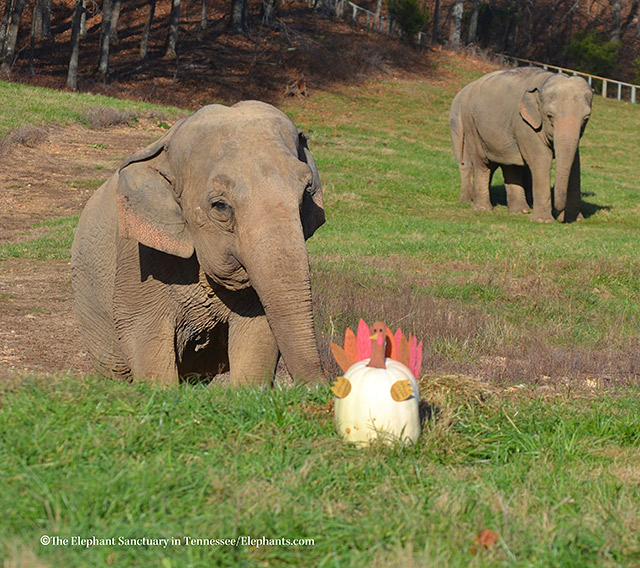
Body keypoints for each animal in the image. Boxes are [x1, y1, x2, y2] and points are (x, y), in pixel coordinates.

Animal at [72, 101, 328, 386]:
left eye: (306, 192)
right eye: (220, 206)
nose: (322, 387)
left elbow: (258, 330)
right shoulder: (138, 256)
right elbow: (143, 331)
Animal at [448, 67, 592, 223]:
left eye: (586, 118)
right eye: (550, 116)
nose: (559, 214)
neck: (546, 79)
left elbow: (575, 164)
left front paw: (576, 219)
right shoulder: (525, 125)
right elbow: (541, 161)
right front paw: (543, 221)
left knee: (510, 164)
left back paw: (519, 211)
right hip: (470, 124)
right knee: (479, 162)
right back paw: (479, 207)